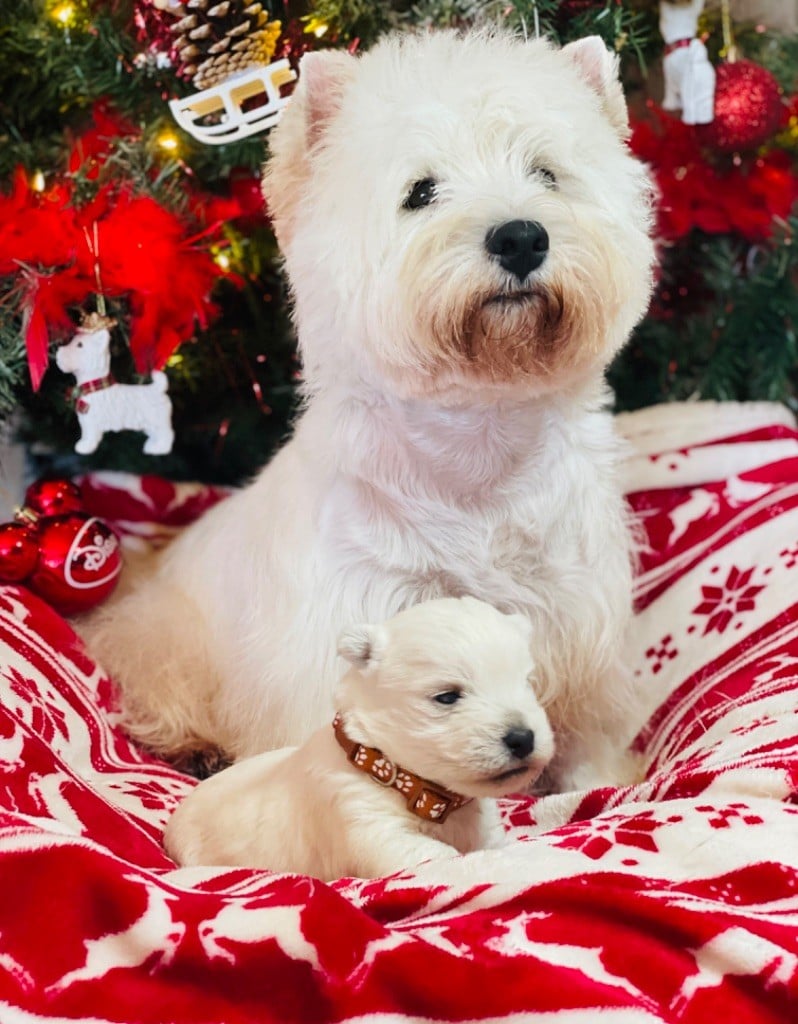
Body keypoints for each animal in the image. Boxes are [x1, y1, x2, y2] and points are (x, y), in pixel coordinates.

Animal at [56, 323, 175, 456]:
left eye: (79, 345)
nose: (58, 351)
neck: (94, 387)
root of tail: (158, 389)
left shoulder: (92, 423)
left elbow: (90, 436)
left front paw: (85, 447)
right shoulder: (86, 421)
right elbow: (86, 434)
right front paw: (83, 444)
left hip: (157, 420)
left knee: (167, 434)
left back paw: (159, 449)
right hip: (149, 424)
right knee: (156, 434)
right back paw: (152, 445)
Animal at [79, 28, 655, 786]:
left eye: (547, 174)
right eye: (421, 191)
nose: (521, 237)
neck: (477, 444)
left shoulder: (580, 627)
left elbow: (588, 746)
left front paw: (607, 789)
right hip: (161, 642)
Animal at [164, 598, 557, 880]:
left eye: (526, 682)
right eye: (447, 696)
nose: (523, 738)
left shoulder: (483, 826)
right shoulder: (365, 823)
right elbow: (436, 856)